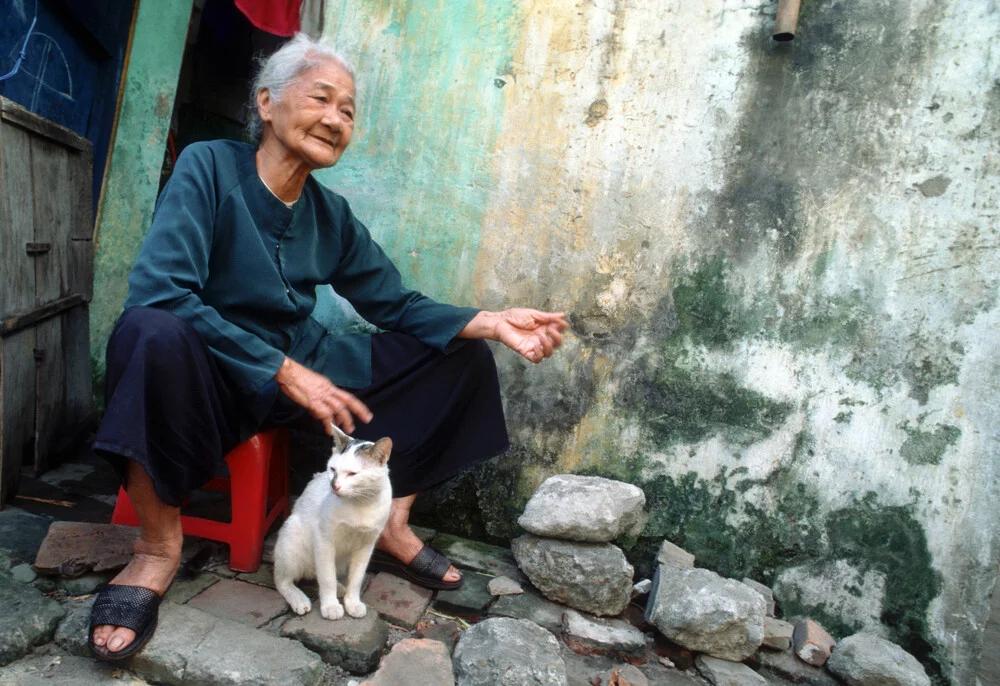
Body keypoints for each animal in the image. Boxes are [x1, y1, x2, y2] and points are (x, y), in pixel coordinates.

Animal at [272, 428, 392, 620]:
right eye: (333, 469)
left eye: (352, 474)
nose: (334, 485)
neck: (361, 503)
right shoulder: (323, 539)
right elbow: (326, 578)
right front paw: (330, 606)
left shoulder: (367, 545)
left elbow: (356, 578)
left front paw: (352, 602)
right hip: (292, 539)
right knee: (282, 580)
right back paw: (299, 598)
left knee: (318, 571)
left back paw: (340, 588)